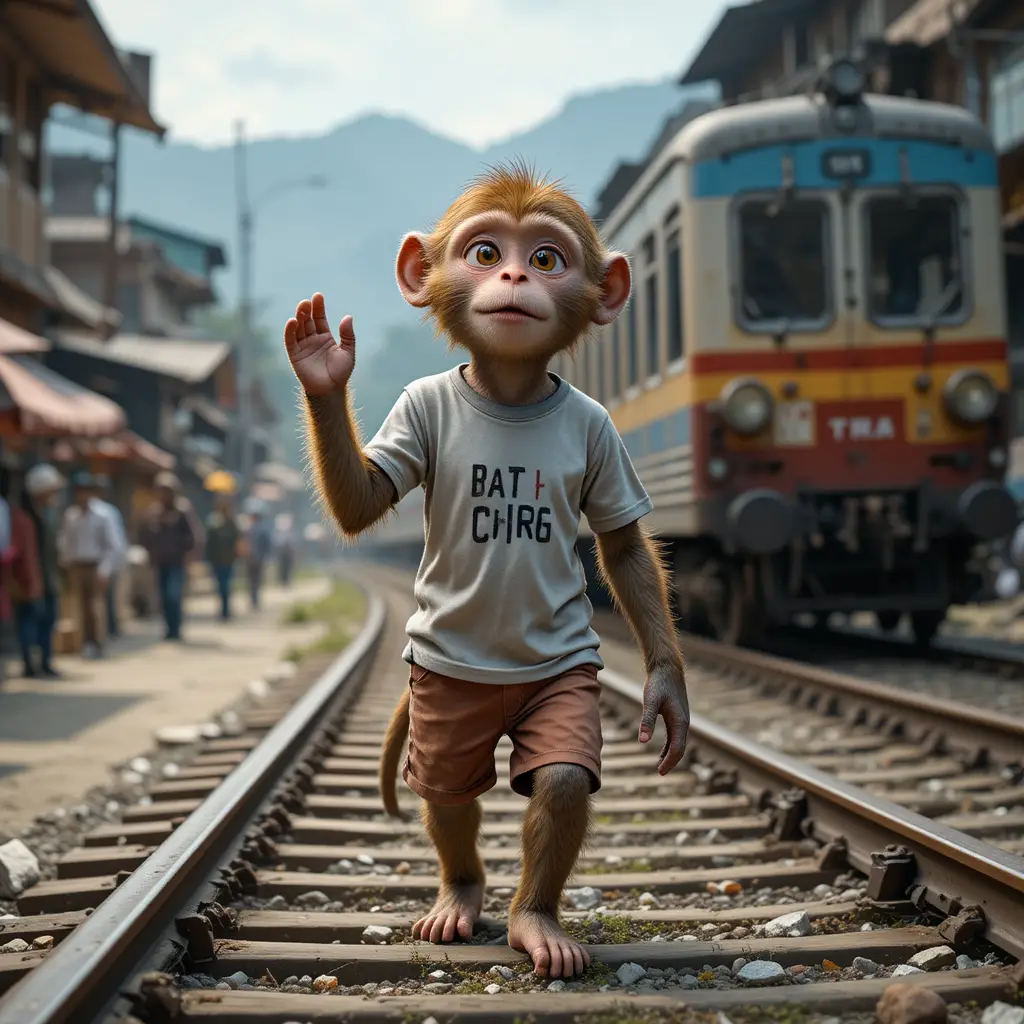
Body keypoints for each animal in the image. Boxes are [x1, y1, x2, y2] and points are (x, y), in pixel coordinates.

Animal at [284, 161, 689, 980]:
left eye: (546, 258)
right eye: (483, 253)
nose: (511, 275)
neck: (508, 392)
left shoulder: (605, 438)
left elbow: (623, 549)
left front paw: (665, 692)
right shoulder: (415, 414)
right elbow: (363, 498)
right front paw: (321, 368)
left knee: (555, 780)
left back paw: (536, 922)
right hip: (444, 708)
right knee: (446, 788)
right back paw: (459, 899)